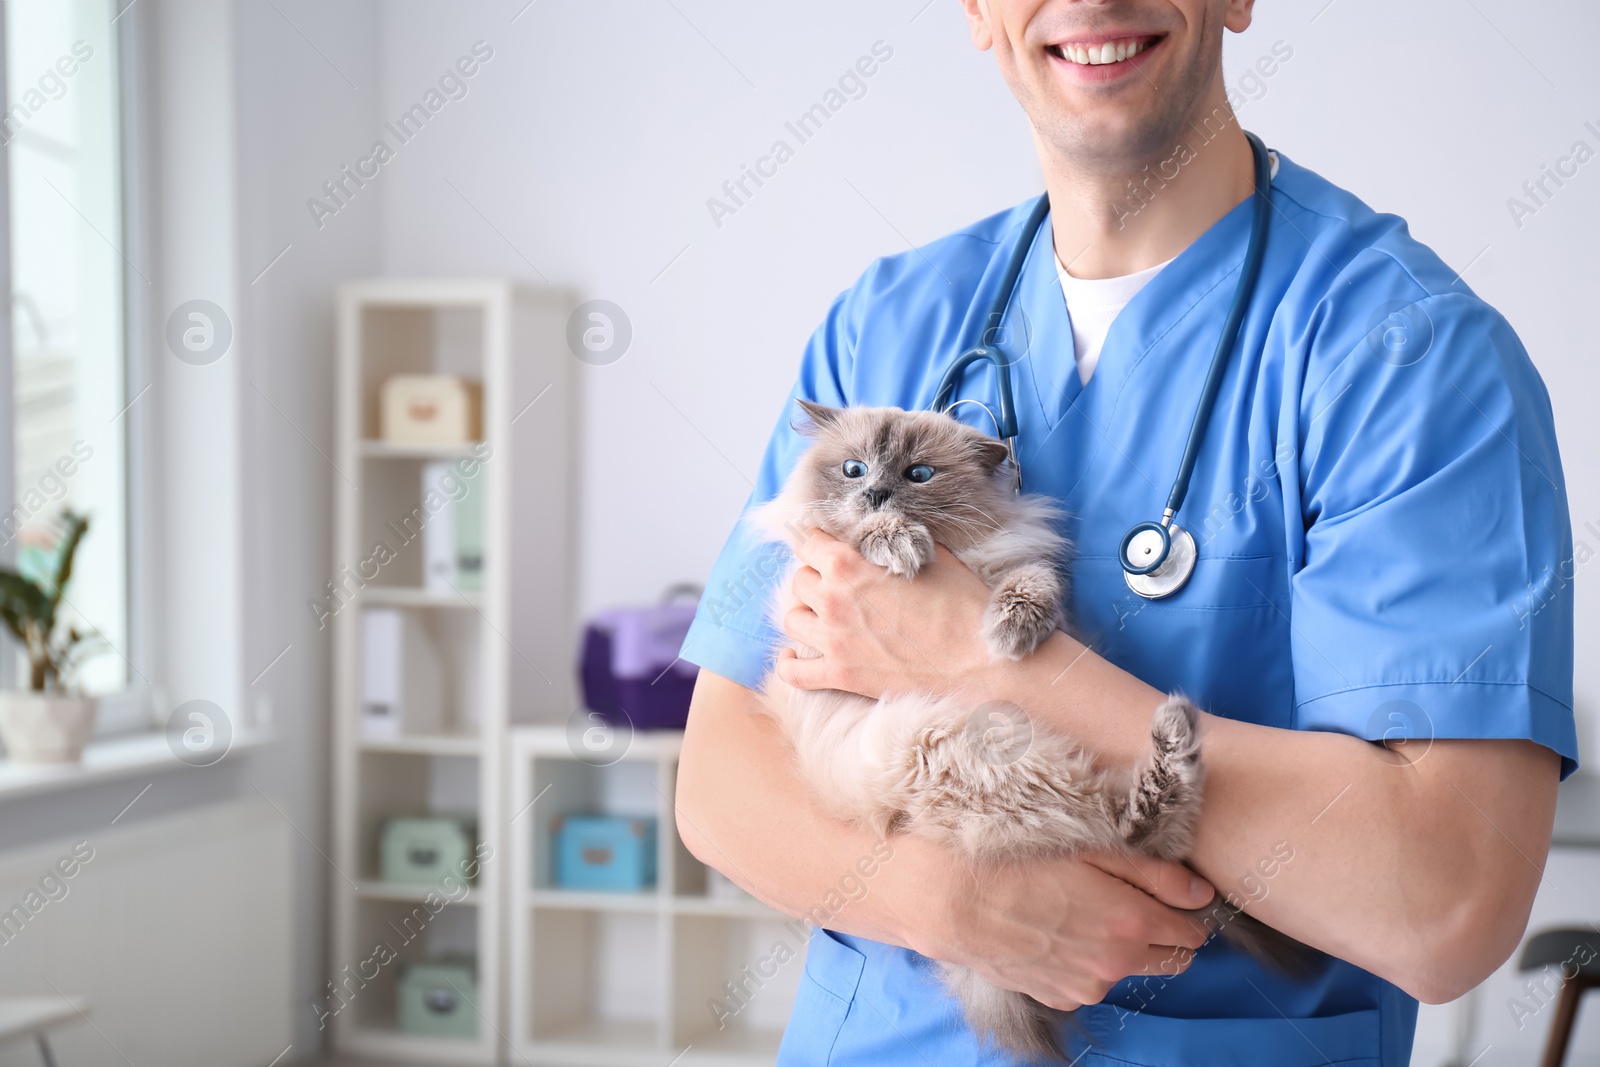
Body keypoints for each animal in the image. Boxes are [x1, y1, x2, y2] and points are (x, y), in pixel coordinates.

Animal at [748, 403, 1312, 1067]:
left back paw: (1174, 730)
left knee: (1144, 833)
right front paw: (899, 542)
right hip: (953, 752)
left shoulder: (1026, 569)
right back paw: (1175, 733)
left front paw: (1012, 632)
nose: (879, 494)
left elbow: (1029, 583)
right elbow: (856, 535)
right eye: (853, 470)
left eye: (918, 474)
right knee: (1140, 834)